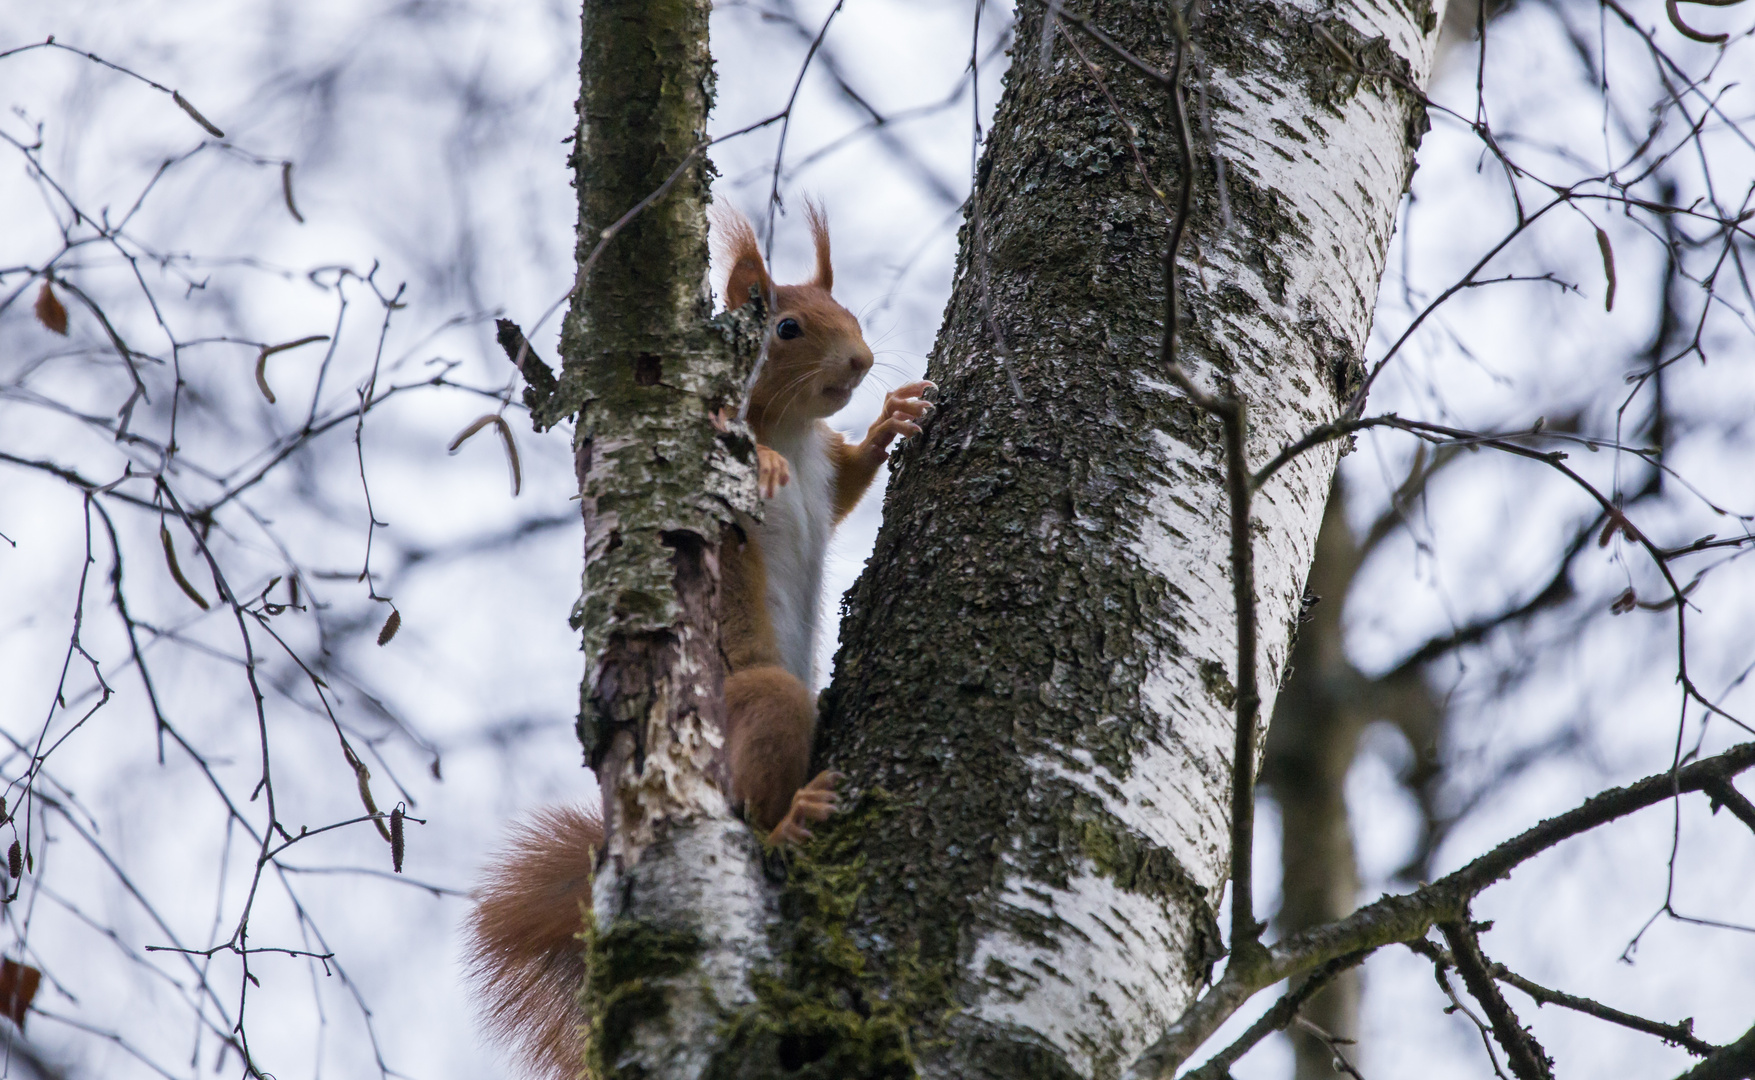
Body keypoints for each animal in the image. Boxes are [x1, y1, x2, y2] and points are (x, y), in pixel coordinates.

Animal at [466, 202, 933, 1080]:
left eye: (849, 311)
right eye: (784, 326)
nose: (859, 361)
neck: (793, 423)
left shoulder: (831, 470)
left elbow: (849, 484)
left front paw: (893, 417)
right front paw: (769, 464)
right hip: (754, 699)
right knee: (753, 807)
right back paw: (789, 820)